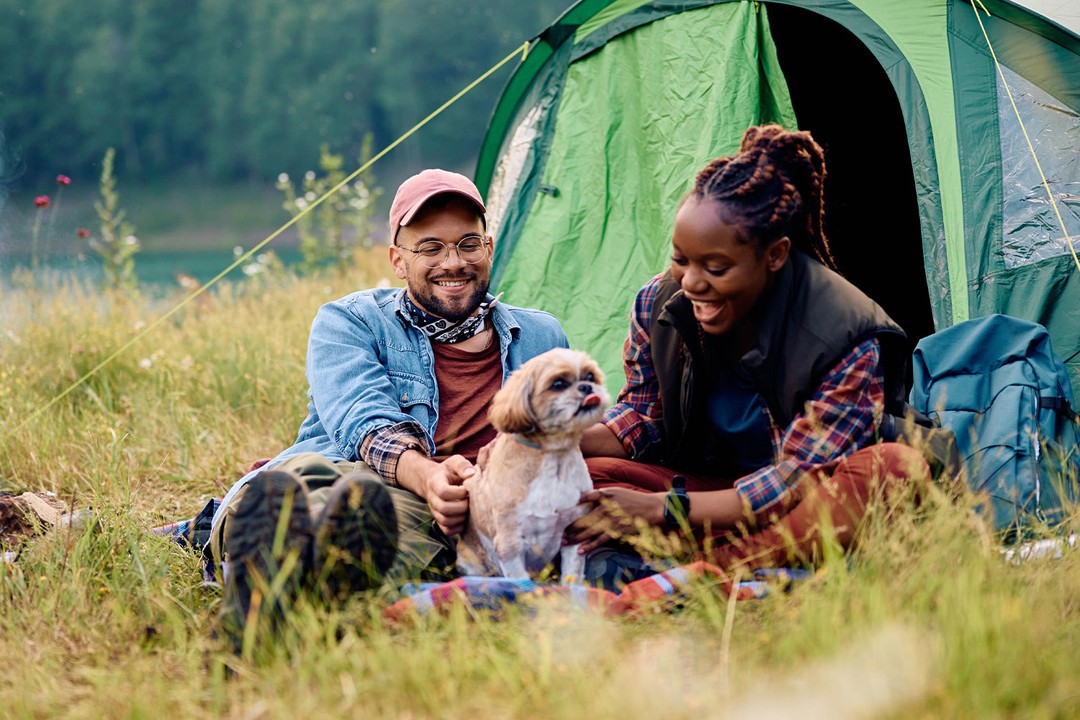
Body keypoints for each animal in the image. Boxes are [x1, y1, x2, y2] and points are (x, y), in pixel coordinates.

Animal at [455, 349, 609, 587]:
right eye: (558, 384)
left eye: (590, 376)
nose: (586, 387)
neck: (554, 457)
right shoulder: (509, 544)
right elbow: (521, 583)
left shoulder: (574, 533)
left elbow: (571, 576)